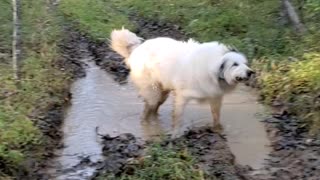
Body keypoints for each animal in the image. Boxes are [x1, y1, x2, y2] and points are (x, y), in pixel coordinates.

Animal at [110, 28, 252, 138]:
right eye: (235, 64)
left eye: (245, 63)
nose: (251, 72)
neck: (213, 68)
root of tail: (137, 48)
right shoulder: (182, 96)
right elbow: (178, 116)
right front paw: (176, 134)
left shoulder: (215, 96)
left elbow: (216, 115)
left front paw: (218, 129)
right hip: (152, 90)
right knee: (148, 109)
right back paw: (147, 125)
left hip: (162, 91)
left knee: (154, 108)